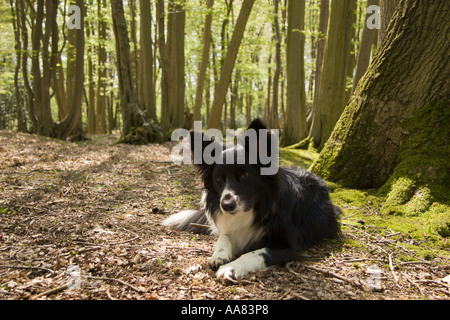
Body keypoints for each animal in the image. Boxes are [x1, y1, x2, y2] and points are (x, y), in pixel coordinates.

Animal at [163, 119, 342, 278]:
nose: (226, 205)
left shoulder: (288, 245)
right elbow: (224, 235)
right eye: (219, 178)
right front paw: (219, 255)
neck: (257, 208)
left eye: (245, 174)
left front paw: (232, 267)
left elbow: (255, 253)